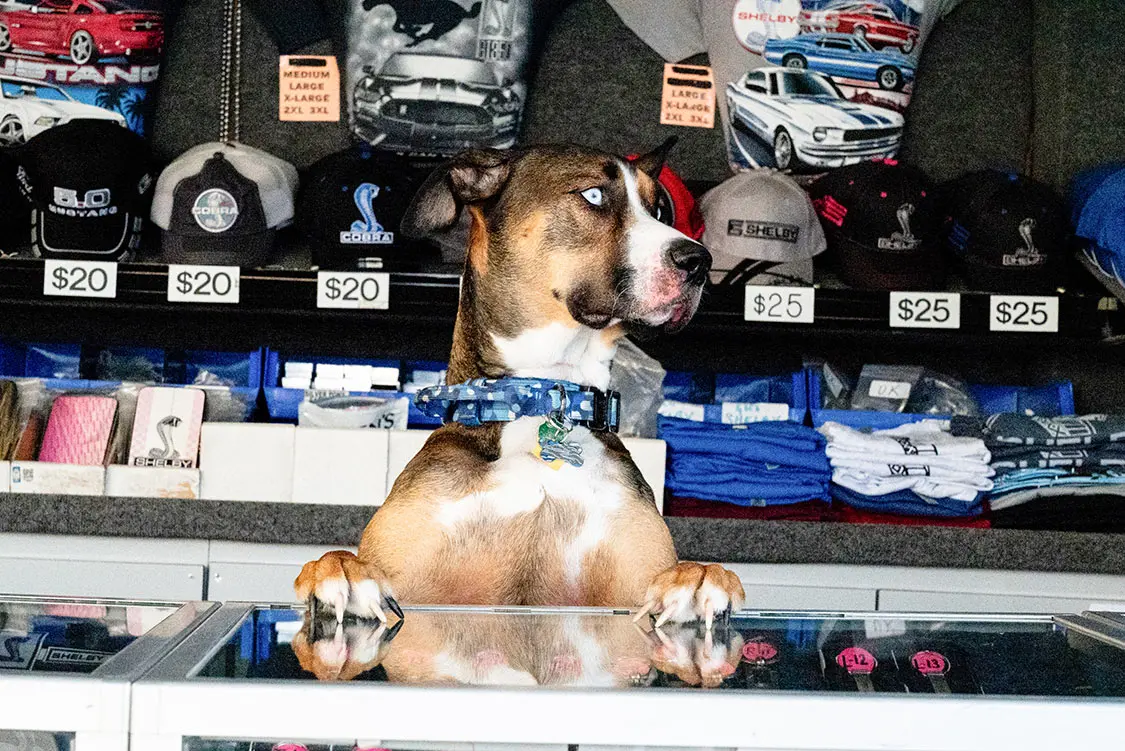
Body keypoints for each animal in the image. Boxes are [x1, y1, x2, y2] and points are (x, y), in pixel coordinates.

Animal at [296, 141, 746, 630]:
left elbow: (674, 577)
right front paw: (341, 570)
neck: (542, 393)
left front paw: (698, 578)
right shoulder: (414, 574)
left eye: (659, 208)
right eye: (592, 195)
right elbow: (346, 565)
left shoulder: (630, 576)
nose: (699, 262)